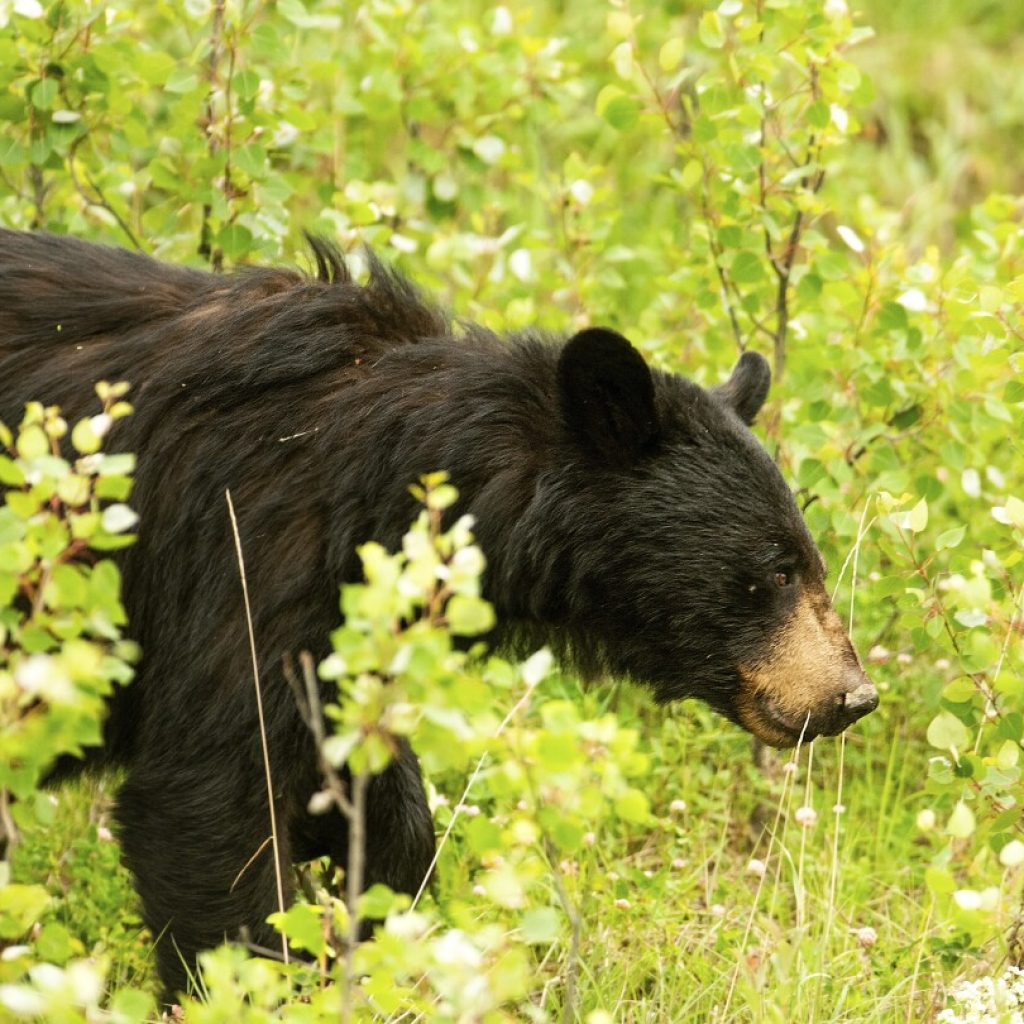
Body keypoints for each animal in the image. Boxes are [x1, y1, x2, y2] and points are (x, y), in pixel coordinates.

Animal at [0, 230, 876, 991]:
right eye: (777, 569)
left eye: (807, 558)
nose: (852, 694)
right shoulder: (239, 553)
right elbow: (207, 801)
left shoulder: (335, 627)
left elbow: (367, 786)